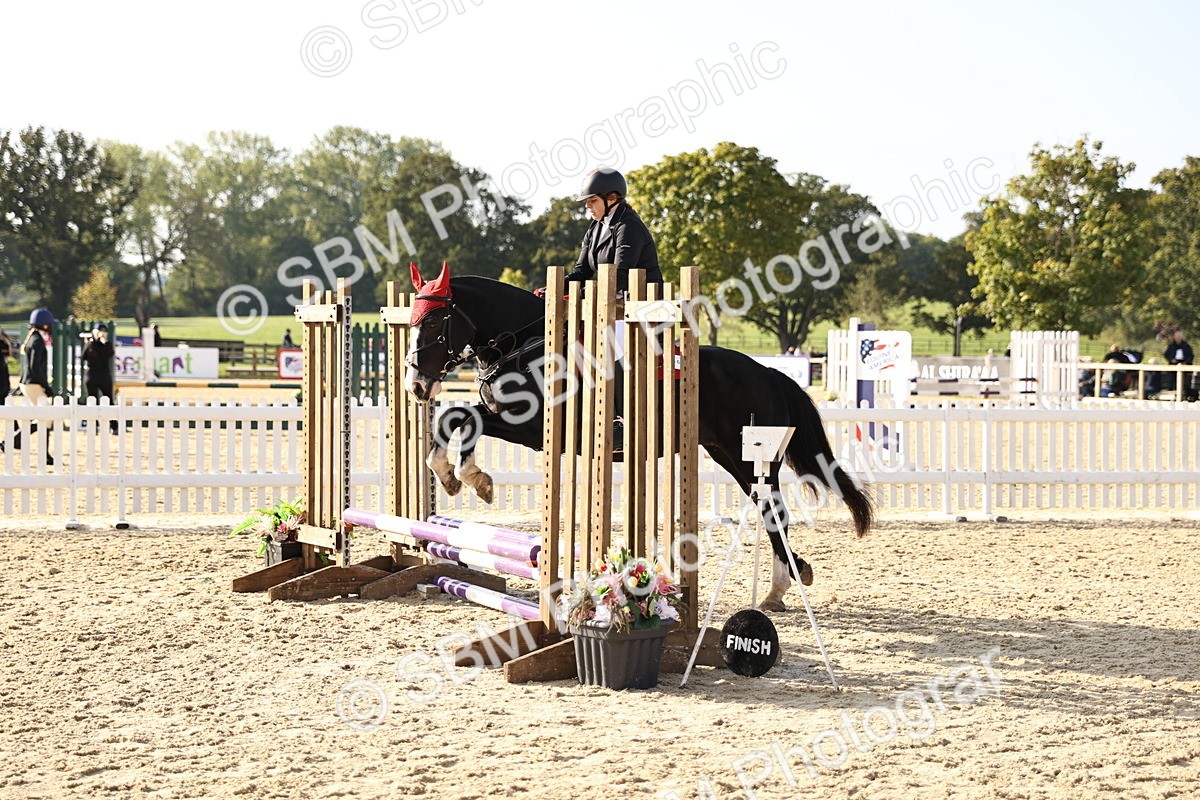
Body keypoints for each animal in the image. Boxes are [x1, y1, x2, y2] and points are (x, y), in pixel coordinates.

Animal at [402, 262, 873, 611]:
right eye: (413, 321)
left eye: (434, 320)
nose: (416, 386)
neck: (527, 343)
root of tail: (769, 372)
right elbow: (455, 417)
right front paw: (449, 475)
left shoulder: (529, 426)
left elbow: (465, 418)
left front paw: (472, 478)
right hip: (728, 455)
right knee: (767, 509)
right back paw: (786, 582)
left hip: (749, 457)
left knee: (776, 512)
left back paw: (778, 589)